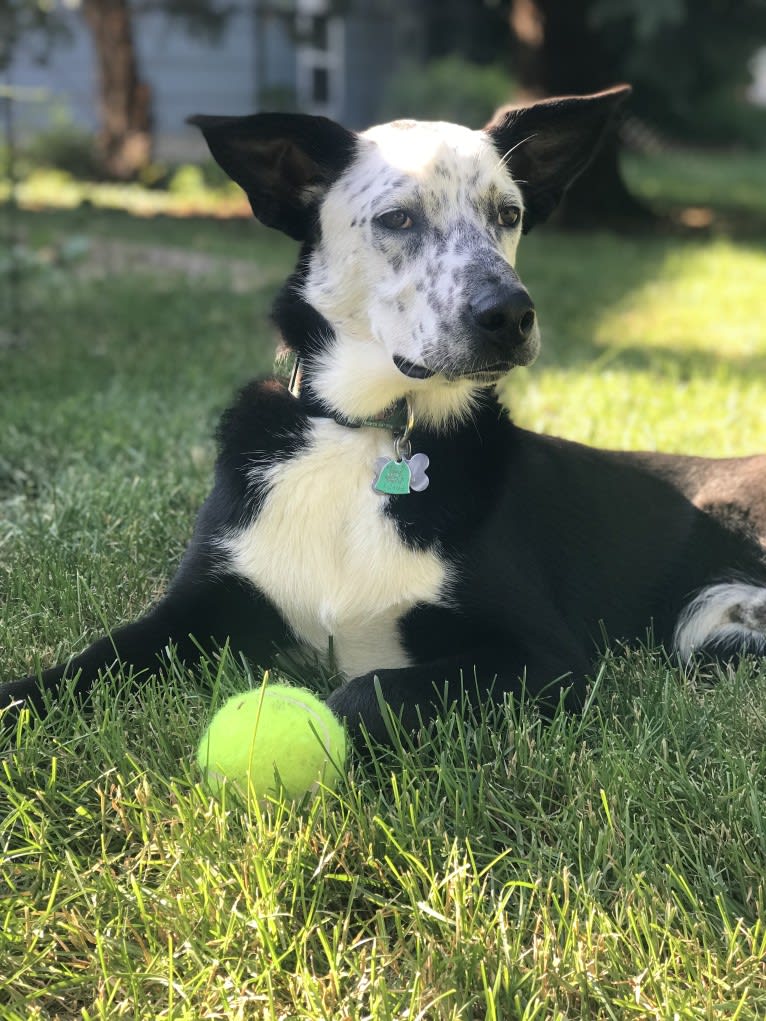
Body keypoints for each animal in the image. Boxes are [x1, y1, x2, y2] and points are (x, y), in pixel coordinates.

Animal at [1, 89, 766, 743]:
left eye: (508, 214)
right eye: (398, 218)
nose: (510, 315)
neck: (367, 433)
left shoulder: (545, 656)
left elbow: (369, 692)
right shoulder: (195, 607)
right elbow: (90, 661)